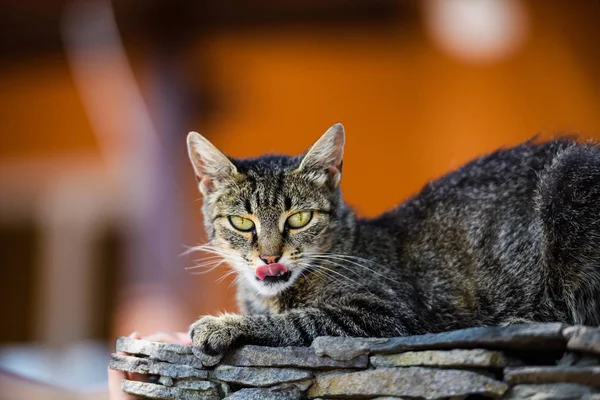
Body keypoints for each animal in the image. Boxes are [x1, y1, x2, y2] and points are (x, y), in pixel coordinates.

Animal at [185, 122, 600, 362]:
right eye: (242, 222)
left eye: (299, 218)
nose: (269, 256)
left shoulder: (386, 315)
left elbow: (298, 322)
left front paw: (221, 326)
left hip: (570, 180)